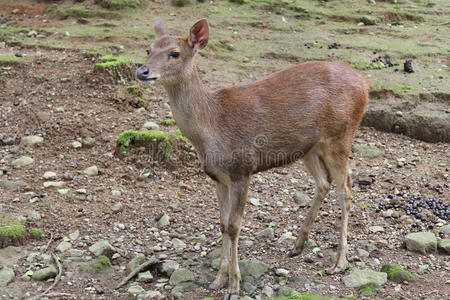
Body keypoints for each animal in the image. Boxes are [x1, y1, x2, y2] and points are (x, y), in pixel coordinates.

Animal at [136, 19, 370, 300]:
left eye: (174, 53)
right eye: (148, 49)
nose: (142, 71)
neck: (212, 128)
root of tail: (365, 84)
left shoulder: (242, 169)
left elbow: (235, 225)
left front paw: (234, 285)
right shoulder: (217, 177)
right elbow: (222, 223)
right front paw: (218, 280)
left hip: (341, 136)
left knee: (346, 189)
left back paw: (340, 261)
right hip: (309, 147)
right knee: (324, 183)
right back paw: (298, 245)